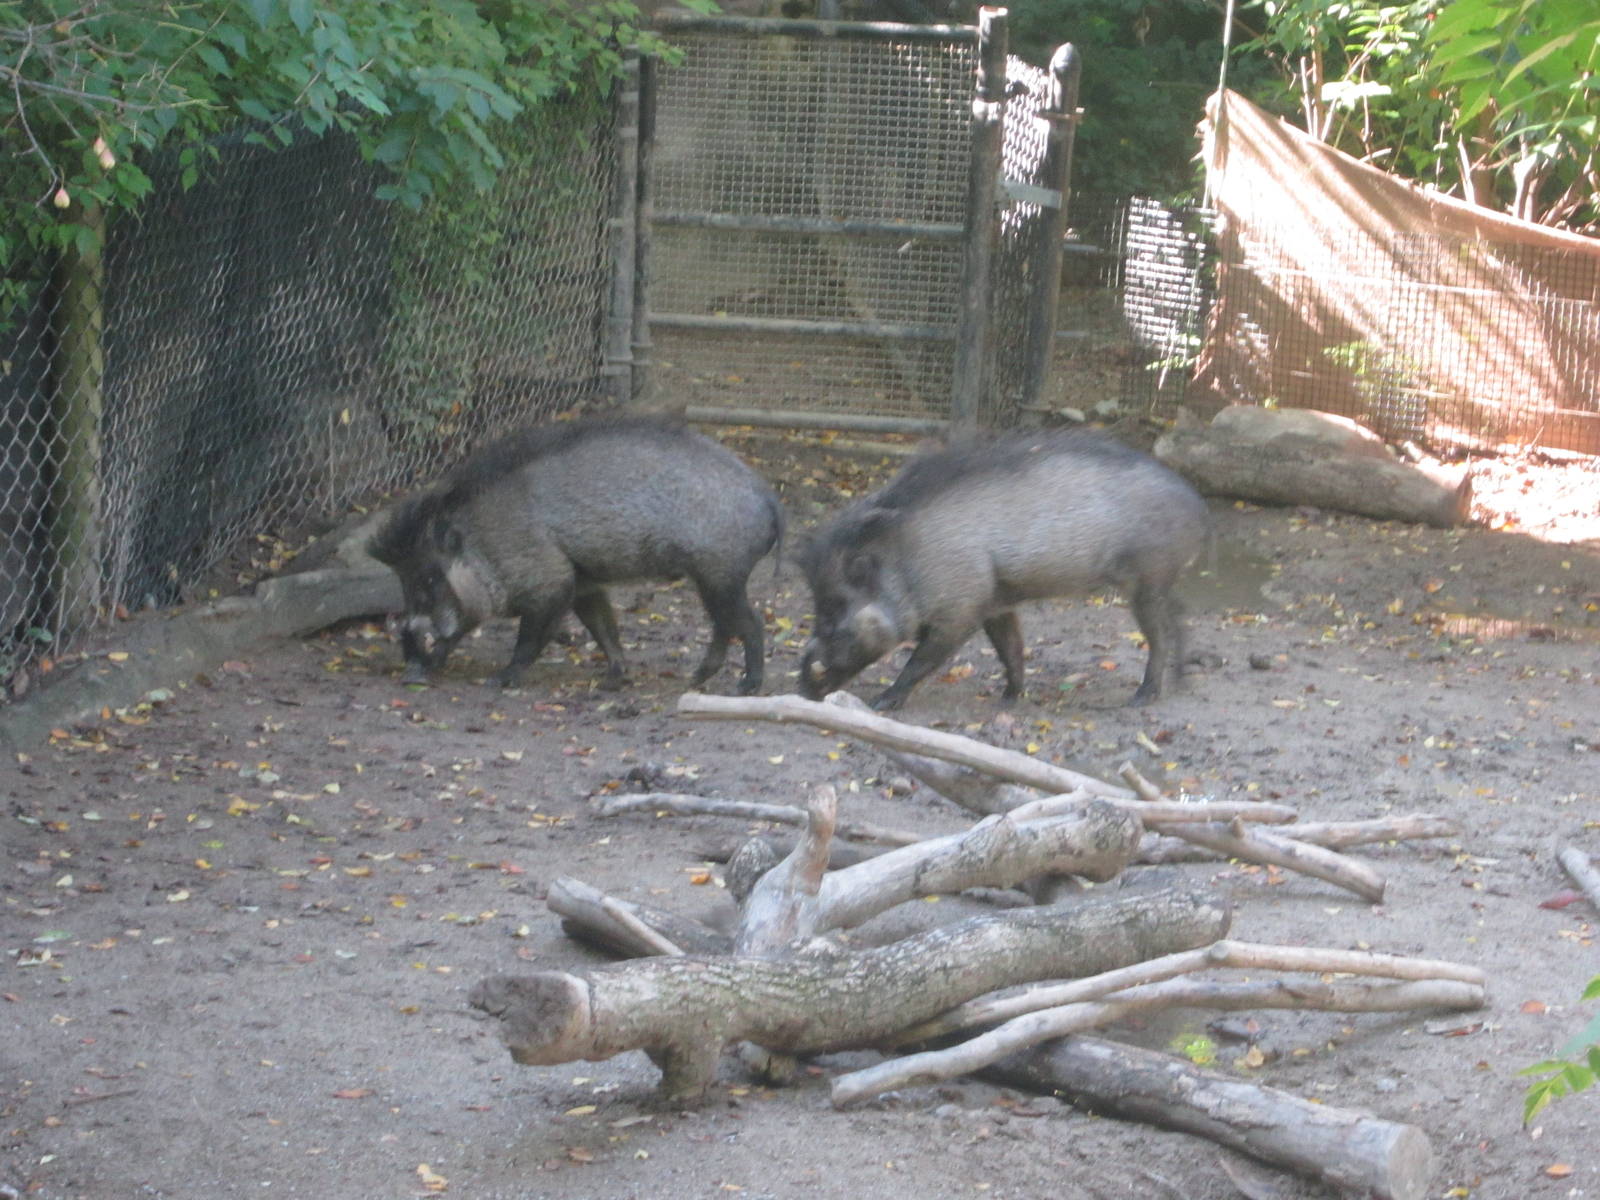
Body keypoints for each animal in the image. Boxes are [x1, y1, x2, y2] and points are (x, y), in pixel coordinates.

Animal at [368, 416, 783, 692]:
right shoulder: (584, 584)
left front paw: (499, 679)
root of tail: (769, 497)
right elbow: (604, 629)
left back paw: (747, 686)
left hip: (720, 575)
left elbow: (530, 640)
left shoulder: (552, 584)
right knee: (723, 625)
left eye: (430, 576)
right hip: (711, 578)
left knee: (748, 623)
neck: (483, 541)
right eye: (403, 578)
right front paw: (614, 679)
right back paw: (696, 679)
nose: (409, 671)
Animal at [797, 429, 1208, 710]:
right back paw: (1181, 680)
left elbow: (920, 661)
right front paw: (1009, 698)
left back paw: (1143, 696)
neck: (905, 560)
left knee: (1160, 635)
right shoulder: (995, 605)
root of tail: (1200, 510)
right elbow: (1011, 649)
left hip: (1148, 581)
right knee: (1180, 617)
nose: (803, 689)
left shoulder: (958, 613)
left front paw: (884, 702)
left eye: (836, 608)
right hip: (1159, 584)